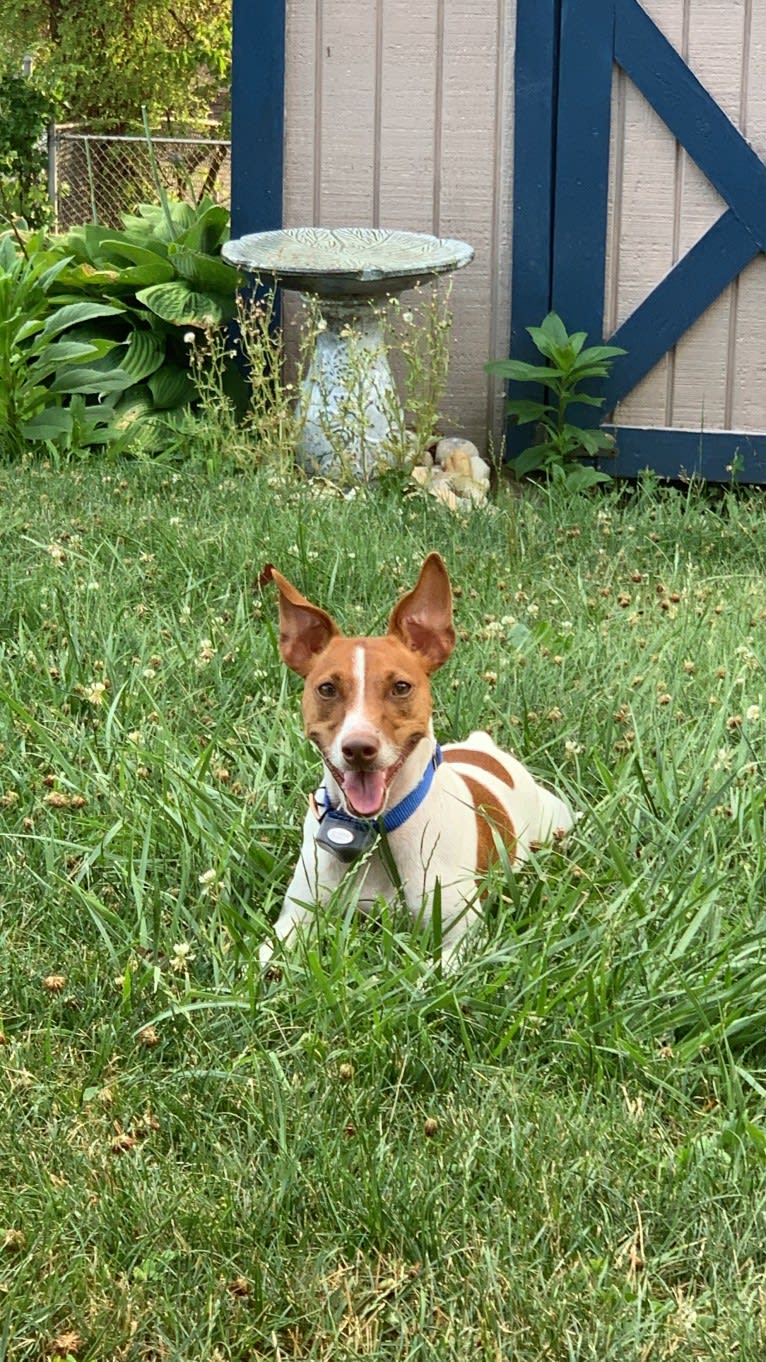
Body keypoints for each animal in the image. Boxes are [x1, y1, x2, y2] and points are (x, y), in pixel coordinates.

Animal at [258, 552, 569, 969]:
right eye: (327, 689)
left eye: (401, 687)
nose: (359, 748)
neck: (377, 831)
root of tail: (485, 747)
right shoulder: (295, 919)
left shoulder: (459, 939)